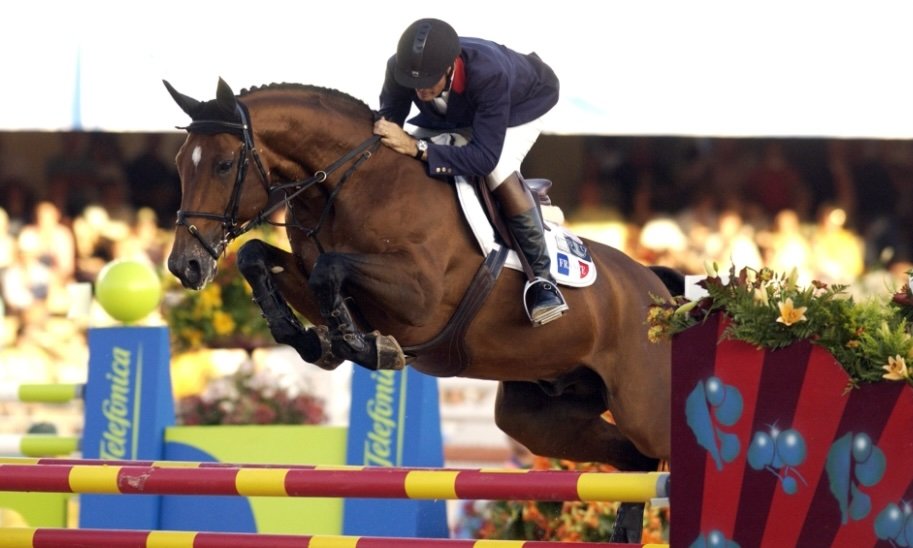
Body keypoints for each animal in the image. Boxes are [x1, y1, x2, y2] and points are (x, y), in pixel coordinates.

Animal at [164, 78, 678, 541]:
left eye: (224, 165)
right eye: (179, 164)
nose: (185, 266)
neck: (349, 184)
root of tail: (660, 294)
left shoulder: (418, 299)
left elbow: (330, 269)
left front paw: (363, 347)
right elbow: (259, 257)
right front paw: (310, 339)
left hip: (642, 405)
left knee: (658, 451)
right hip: (541, 417)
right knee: (634, 461)